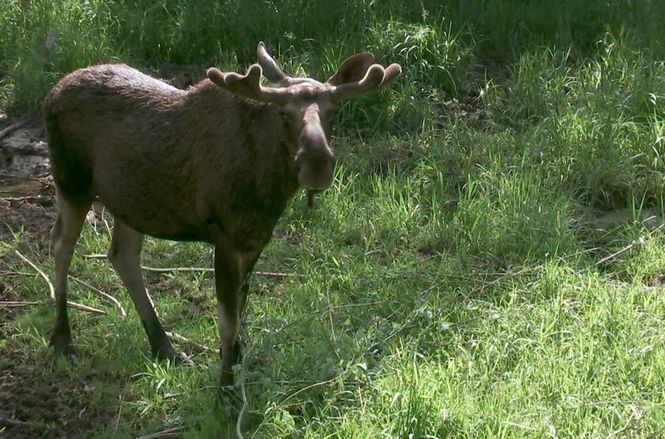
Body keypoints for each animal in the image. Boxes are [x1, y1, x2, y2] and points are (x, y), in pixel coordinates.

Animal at [46, 42, 400, 388]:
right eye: (284, 114)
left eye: (332, 112)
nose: (317, 163)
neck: (267, 188)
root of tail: (52, 91)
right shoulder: (225, 237)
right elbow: (227, 320)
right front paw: (226, 389)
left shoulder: (255, 239)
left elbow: (242, 311)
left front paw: (238, 366)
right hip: (71, 182)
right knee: (61, 245)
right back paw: (61, 338)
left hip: (131, 202)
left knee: (123, 255)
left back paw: (164, 347)